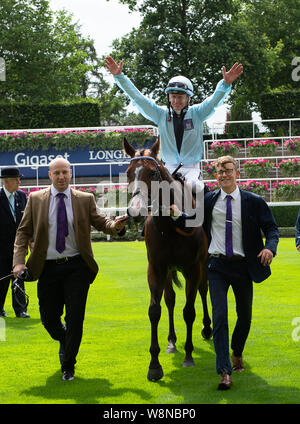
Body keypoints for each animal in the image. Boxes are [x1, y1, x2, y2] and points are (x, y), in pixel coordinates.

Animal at [123, 138, 212, 380]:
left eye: (153, 173)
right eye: (128, 173)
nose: (135, 210)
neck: (171, 224)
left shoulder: (193, 268)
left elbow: (189, 311)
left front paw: (189, 356)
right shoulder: (157, 268)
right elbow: (155, 310)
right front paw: (154, 365)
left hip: (202, 265)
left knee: (204, 290)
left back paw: (207, 327)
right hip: (170, 271)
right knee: (170, 298)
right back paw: (172, 341)